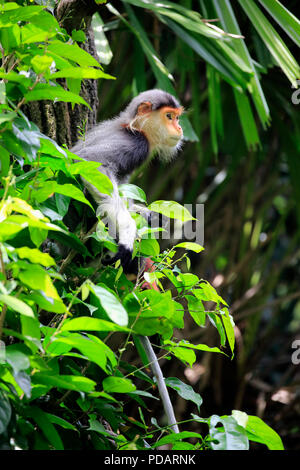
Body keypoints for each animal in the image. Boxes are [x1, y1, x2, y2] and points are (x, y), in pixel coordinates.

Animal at [72, 88, 184, 272]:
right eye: (169, 116)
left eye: (177, 117)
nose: (179, 127)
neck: (134, 128)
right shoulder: (137, 143)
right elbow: (90, 160)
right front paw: (127, 230)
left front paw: (147, 213)